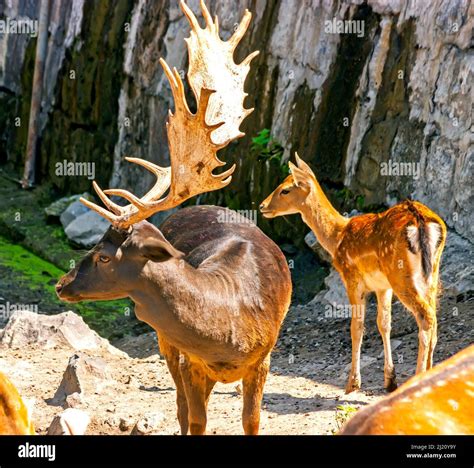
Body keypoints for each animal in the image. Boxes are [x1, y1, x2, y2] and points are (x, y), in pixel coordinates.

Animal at [56, 1, 292, 436]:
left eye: (103, 255)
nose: (61, 284)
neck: (226, 330)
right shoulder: (189, 360)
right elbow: (193, 418)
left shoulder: (263, 359)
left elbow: (252, 421)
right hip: (167, 344)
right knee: (181, 406)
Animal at [262, 155, 446, 394]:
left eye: (285, 190)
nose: (262, 206)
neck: (337, 237)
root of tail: (422, 222)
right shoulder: (382, 286)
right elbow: (384, 324)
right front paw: (390, 380)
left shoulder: (351, 278)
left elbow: (356, 327)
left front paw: (352, 383)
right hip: (431, 273)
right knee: (434, 316)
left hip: (402, 275)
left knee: (426, 316)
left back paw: (418, 377)